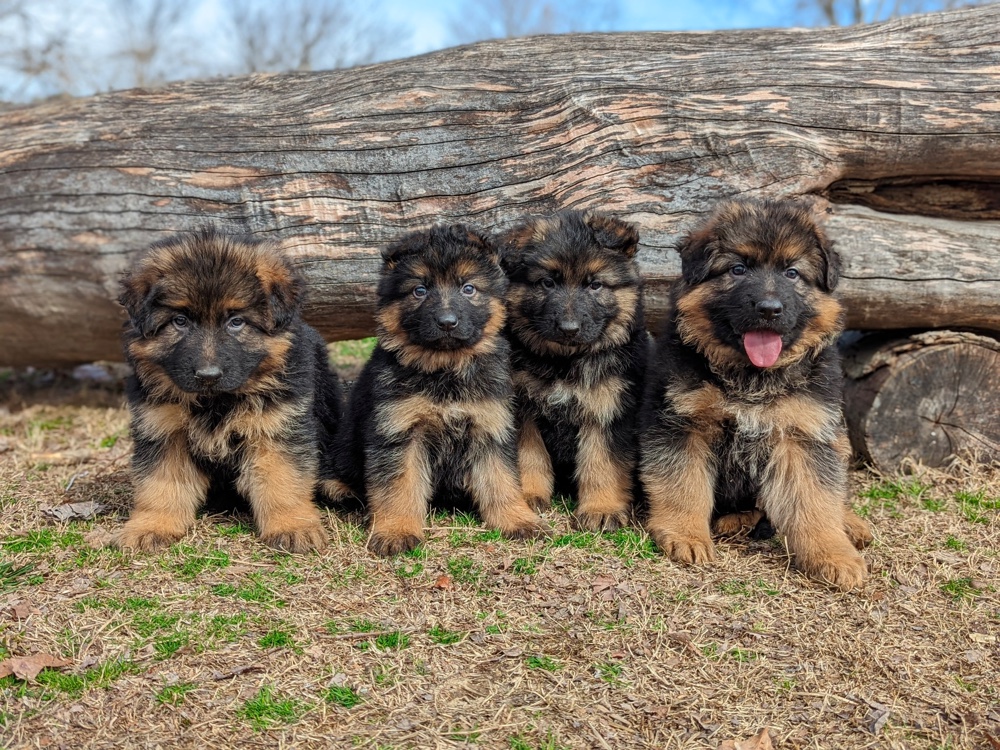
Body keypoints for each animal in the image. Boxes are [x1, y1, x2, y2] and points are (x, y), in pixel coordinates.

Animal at [117, 232, 340, 556]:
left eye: (236, 321)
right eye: (180, 321)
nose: (208, 375)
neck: (216, 402)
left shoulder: (277, 427)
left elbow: (283, 479)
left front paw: (292, 526)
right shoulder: (162, 429)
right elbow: (160, 484)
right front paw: (152, 526)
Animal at [336, 223, 544, 560]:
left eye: (468, 289)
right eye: (420, 290)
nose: (447, 322)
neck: (446, 370)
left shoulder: (490, 426)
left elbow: (501, 480)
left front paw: (517, 519)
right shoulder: (399, 432)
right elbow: (399, 486)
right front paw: (396, 531)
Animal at [500, 209, 648, 532]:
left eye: (595, 285)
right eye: (547, 283)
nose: (569, 329)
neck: (564, 362)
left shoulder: (608, 409)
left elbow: (601, 463)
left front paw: (602, 509)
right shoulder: (522, 408)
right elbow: (529, 455)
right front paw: (528, 494)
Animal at [640, 200, 868, 592]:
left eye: (792, 273)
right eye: (738, 269)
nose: (769, 309)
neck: (751, 380)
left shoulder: (802, 434)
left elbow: (816, 499)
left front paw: (833, 554)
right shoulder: (681, 424)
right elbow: (683, 484)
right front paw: (686, 535)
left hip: (836, 436)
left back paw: (849, 524)